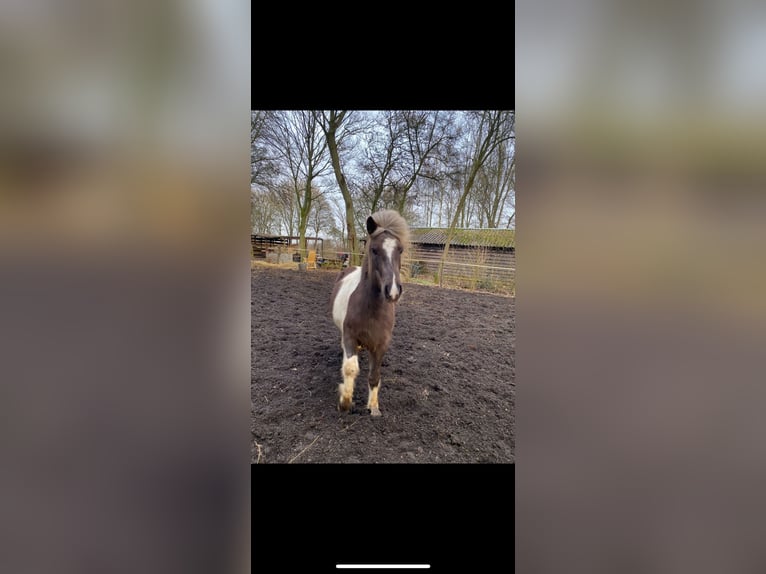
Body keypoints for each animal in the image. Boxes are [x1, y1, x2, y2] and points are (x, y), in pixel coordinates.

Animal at [330, 209, 410, 416]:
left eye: (400, 250)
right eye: (374, 249)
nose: (393, 291)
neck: (372, 310)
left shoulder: (381, 344)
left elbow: (374, 376)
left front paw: (373, 407)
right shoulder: (349, 336)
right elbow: (350, 369)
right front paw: (345, 401)